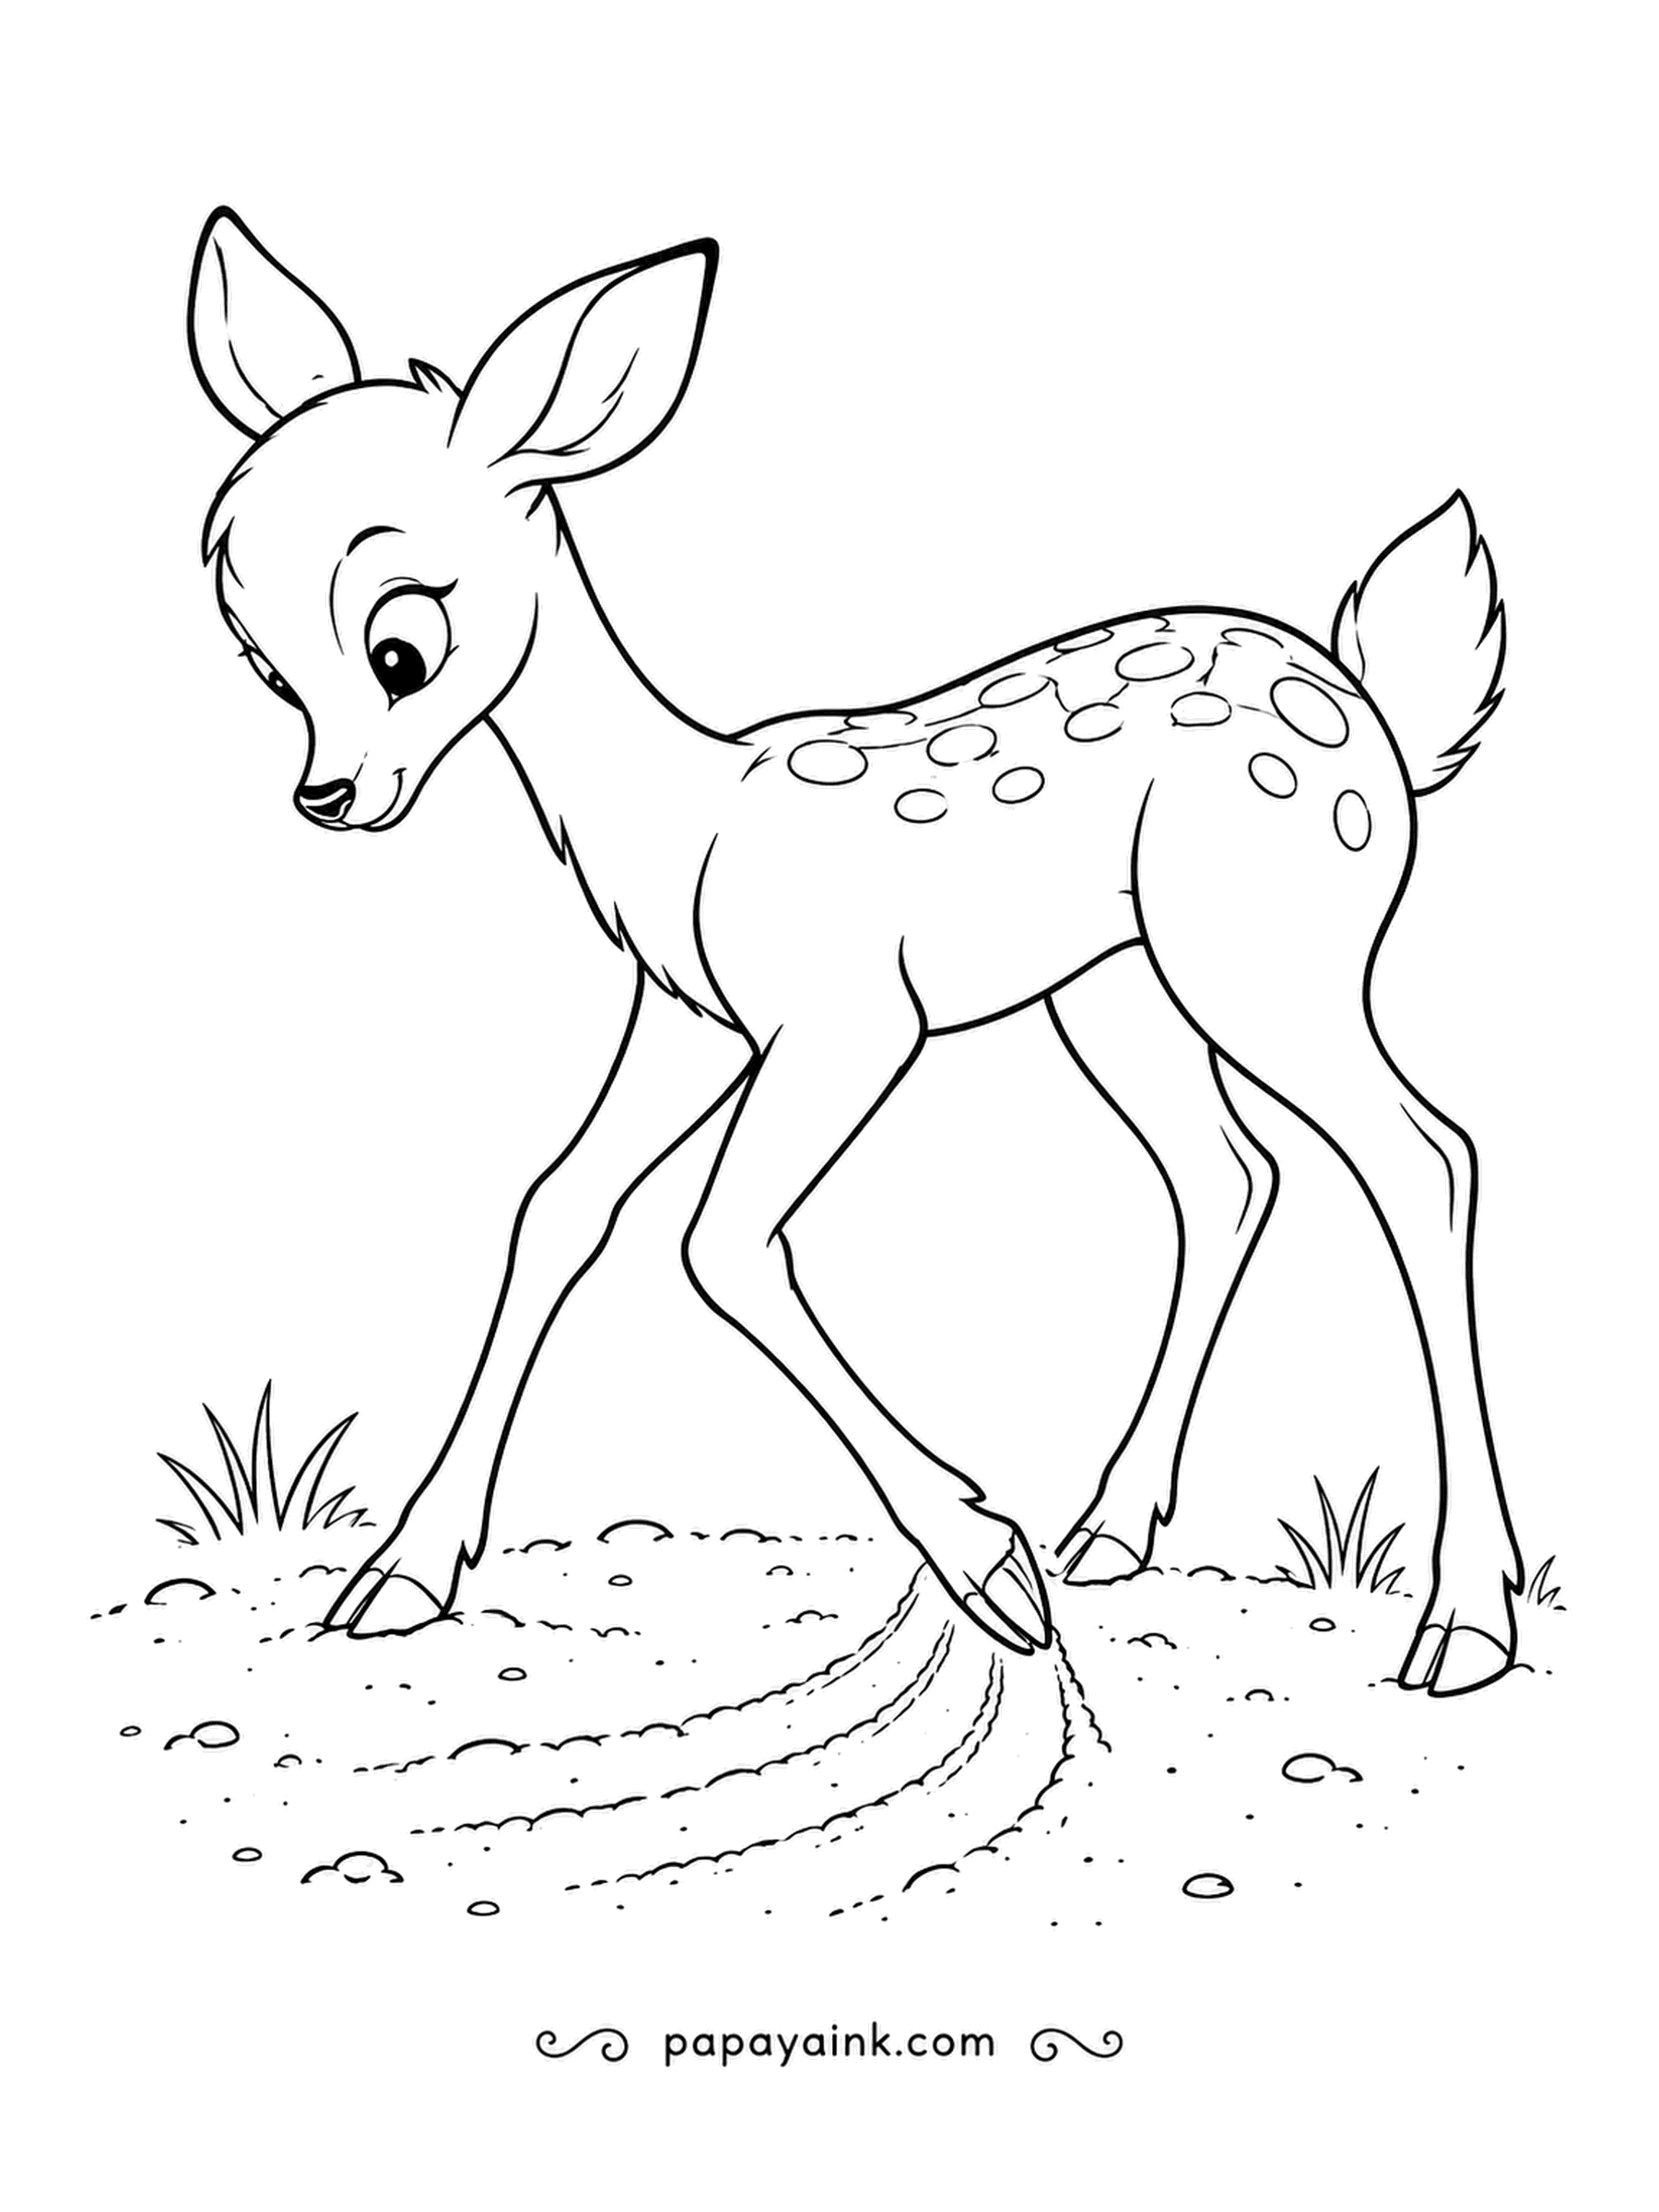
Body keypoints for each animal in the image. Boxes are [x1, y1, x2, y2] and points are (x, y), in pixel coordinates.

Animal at [185, 208, 1523, 1695]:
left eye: (401, 643)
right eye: (256, 652)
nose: (330, 796)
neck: (679, 828)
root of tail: (1385, 721)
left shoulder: (846, 1021)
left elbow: (720, 1241)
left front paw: (986, 1564)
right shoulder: (687, 1023)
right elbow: (557, 1209)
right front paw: (401, 1577)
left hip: (1271, 946)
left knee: (1423, 1155)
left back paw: (1464, 1622)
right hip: (1117, 985)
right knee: (1227, 1174)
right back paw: (1112, 1530)